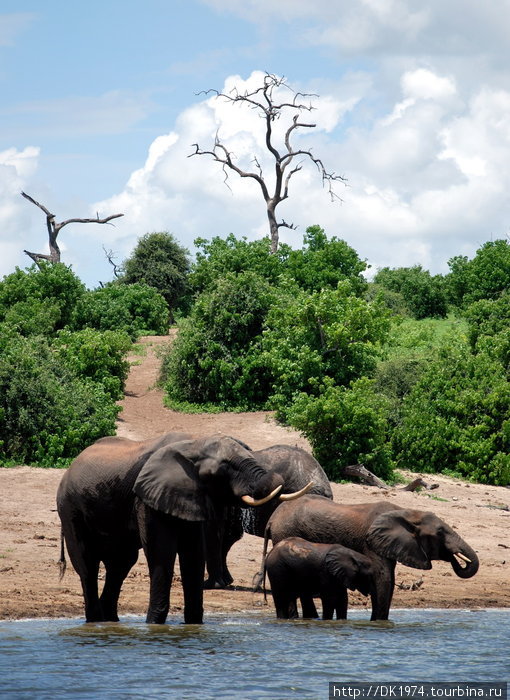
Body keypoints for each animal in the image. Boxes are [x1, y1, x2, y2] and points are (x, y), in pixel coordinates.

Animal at [56, 432, 302, 624]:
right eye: (225, 467)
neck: (193, 444)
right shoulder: (147, 497)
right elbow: (161, 553)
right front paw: (154, 624)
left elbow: (194, 555)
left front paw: (193, 625)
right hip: (69, 508)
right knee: (87, 564)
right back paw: (95, 621)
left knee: (121, 564)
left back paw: (110, 621)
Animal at [256, 494, 480, 620]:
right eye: (440, 533)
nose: (457, 558)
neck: (407, 512)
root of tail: (272, 518)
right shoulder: (372, 542)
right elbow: (383, 579)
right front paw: (377, 623)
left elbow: (389, 581)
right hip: (286, 533)